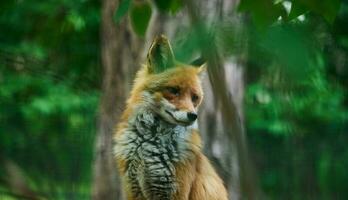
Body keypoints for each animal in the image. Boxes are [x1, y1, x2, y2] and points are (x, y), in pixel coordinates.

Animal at [114, 35, 228, 200]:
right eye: (174, 90)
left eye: (195, 98)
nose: (193, 116)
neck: (149, 142)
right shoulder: (133, 190)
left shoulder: (175, 191)